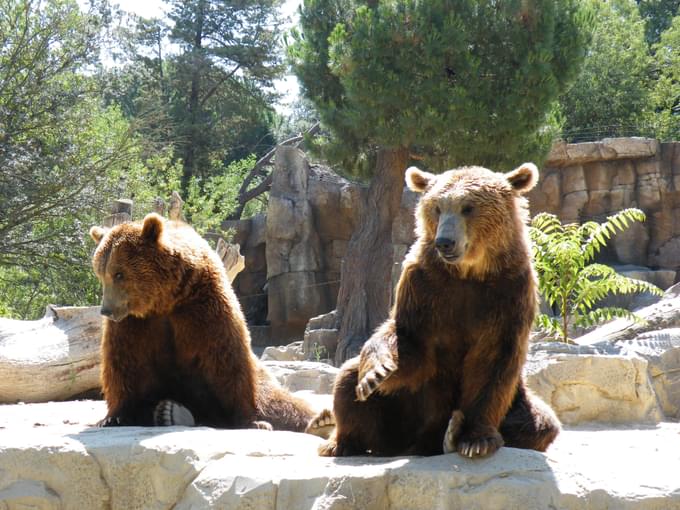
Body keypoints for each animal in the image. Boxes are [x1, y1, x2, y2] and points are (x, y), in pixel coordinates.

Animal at [88, 213, 316, 432]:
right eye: (101, 273)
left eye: (119, 273)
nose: (106, 310)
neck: (166, 300)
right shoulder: (134, 323)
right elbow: (126, 363)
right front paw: (113, 418)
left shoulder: (203, 306)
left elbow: (226, 359)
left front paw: (251, 421)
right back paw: (171, 412)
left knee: (284, 403)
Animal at [310, 162, 560, 458]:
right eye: (437, 207)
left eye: (468, 207)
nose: (444, 242)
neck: (469, 272)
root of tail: (416, 443)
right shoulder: (425, 286)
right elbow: (409, 341)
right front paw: (377, 373)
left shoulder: (508, 292)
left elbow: (494, 362)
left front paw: (477, 440)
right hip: (403, 413)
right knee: (348, 380)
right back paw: (341, 441)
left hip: (519, 400)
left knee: (542, 424)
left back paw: (451, 433)